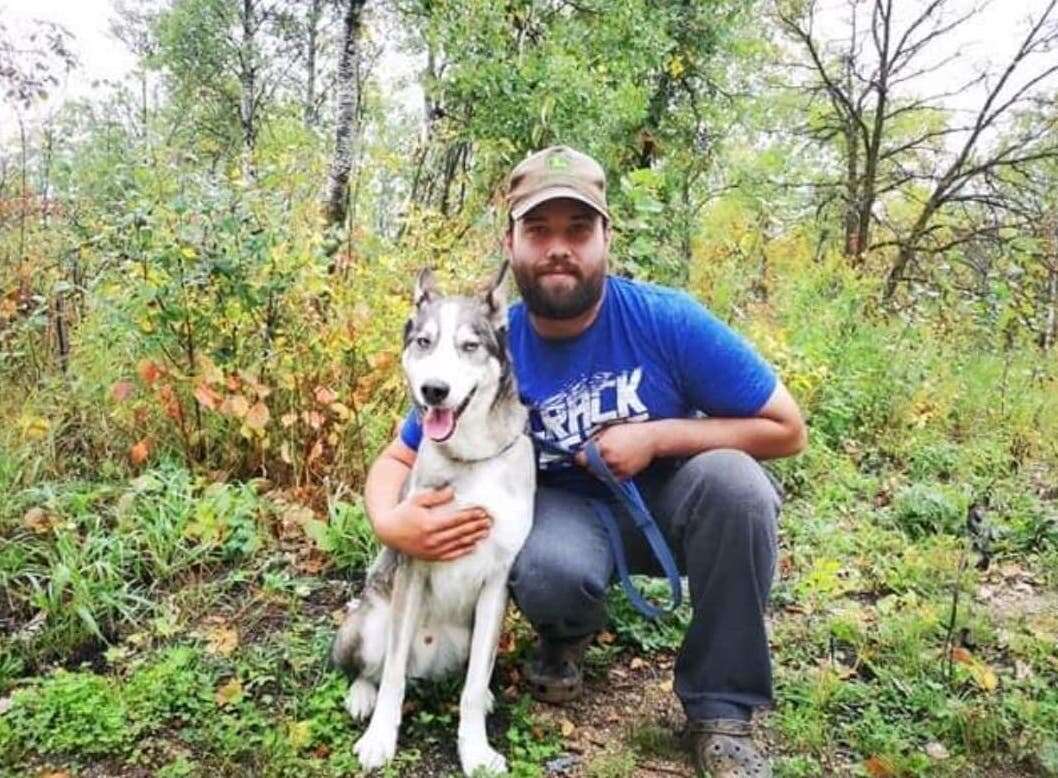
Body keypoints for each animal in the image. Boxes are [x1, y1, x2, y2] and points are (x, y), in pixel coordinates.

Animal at [330, 264, 533, 774]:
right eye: (424, 342)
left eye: (470, 346)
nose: (434, 391)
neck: (472, 459)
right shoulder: (414, 567)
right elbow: (392, 679)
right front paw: (379, 739)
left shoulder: (497, 583)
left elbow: (472, 688)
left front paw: (475, 749)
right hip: (367, 624)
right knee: (371, 670)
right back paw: (361, 695)